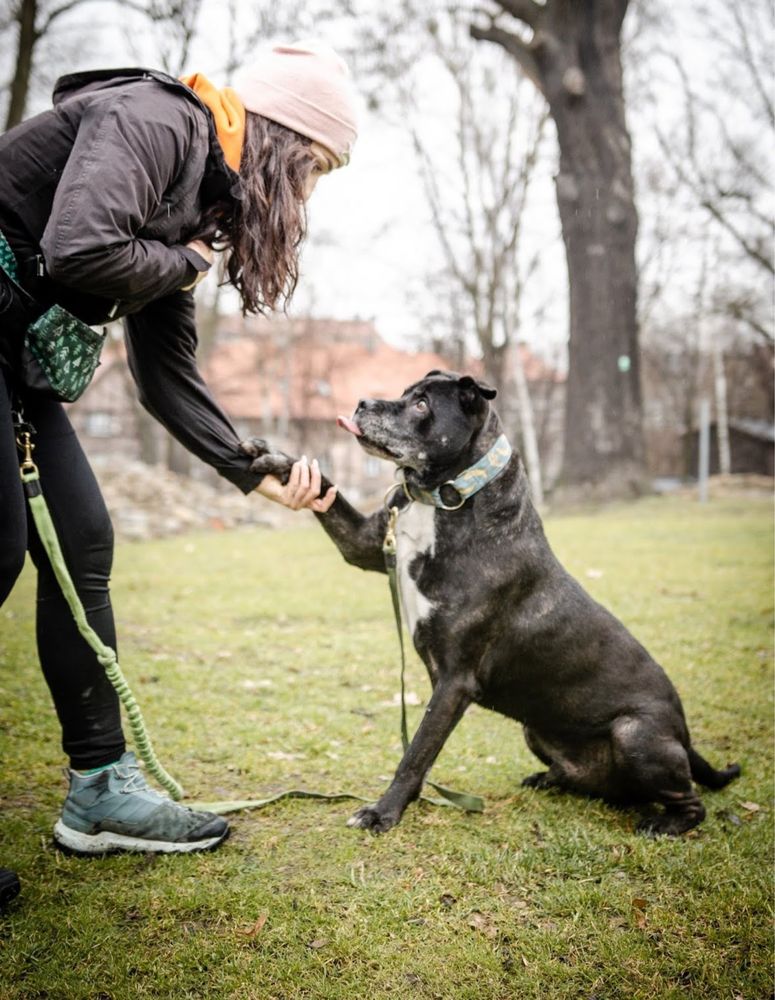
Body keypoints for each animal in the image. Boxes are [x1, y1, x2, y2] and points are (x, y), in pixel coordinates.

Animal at [246, 372, 744, 832]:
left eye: (422, 404)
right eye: (404, 394)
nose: (362, 401)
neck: (446, 497)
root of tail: (684, 736)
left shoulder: (455, 681)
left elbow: (416, 754)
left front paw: (383, 812)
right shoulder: (366, 546)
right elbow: (327, 494)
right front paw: (278, 460)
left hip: (635, 733)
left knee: (692, 801)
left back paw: (666, 823)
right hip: (537, 731)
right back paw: (549, 780)